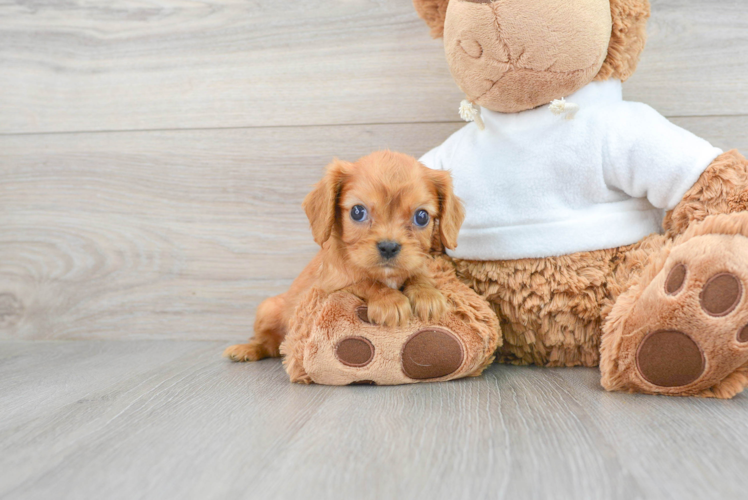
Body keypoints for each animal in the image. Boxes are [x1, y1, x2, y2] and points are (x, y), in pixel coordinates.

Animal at [225, 150, 464, 362]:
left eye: (422, 216)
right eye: (358, 212)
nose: (389, 247)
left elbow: (417, 274)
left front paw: (426, 294)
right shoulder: (329, 289)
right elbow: (365, 282)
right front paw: (390, 300)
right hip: (267, 309)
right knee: (267, 343)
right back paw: (247, 349)